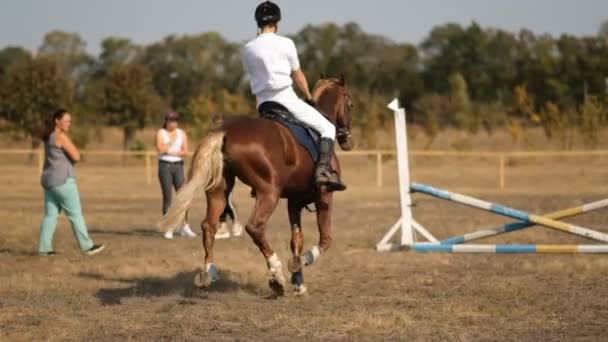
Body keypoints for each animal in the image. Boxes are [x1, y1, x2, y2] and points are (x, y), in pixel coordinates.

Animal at [159, 75, 354, 296]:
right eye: (350, 104)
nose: (347, 140)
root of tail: (225, 131)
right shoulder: (324, 196)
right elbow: (325, 239)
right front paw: (299, 263)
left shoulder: (294, 202)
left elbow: (296, 240)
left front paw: (299, 281)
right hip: (269, 193)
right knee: (255, 227)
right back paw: (276, 275)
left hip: (219, 189)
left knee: (209, 225)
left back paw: (208, 272)